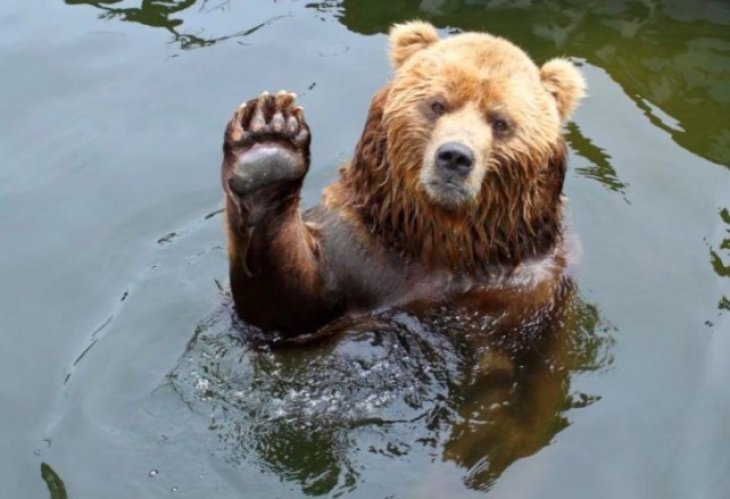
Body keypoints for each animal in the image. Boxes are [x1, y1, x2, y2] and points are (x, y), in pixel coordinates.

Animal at [220, 21, 586, 337]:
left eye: (500, 122)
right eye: (437, 104)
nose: (455, 157)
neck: (443, 241)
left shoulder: (532, 282)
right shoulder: (362, 250)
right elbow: (286, 306)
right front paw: (268, 141)